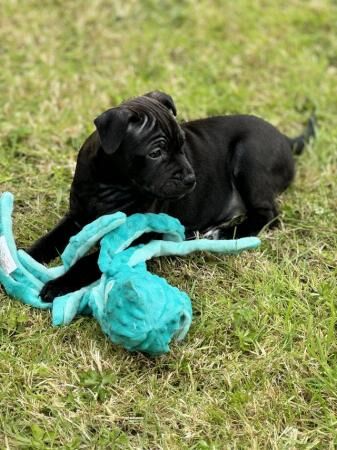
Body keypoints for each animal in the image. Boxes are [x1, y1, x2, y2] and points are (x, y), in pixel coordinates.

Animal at [27, 91, 314, 300]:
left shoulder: (135, 234)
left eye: (183, 144)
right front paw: (25, 257)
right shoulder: (77, 216)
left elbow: (89, 261)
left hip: (250, 157)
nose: (191, 179)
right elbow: (49, 239)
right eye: (155, 153)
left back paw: (224, 233)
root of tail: (286, 139)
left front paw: (59, 284)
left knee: (268, 214)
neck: (112, 184)